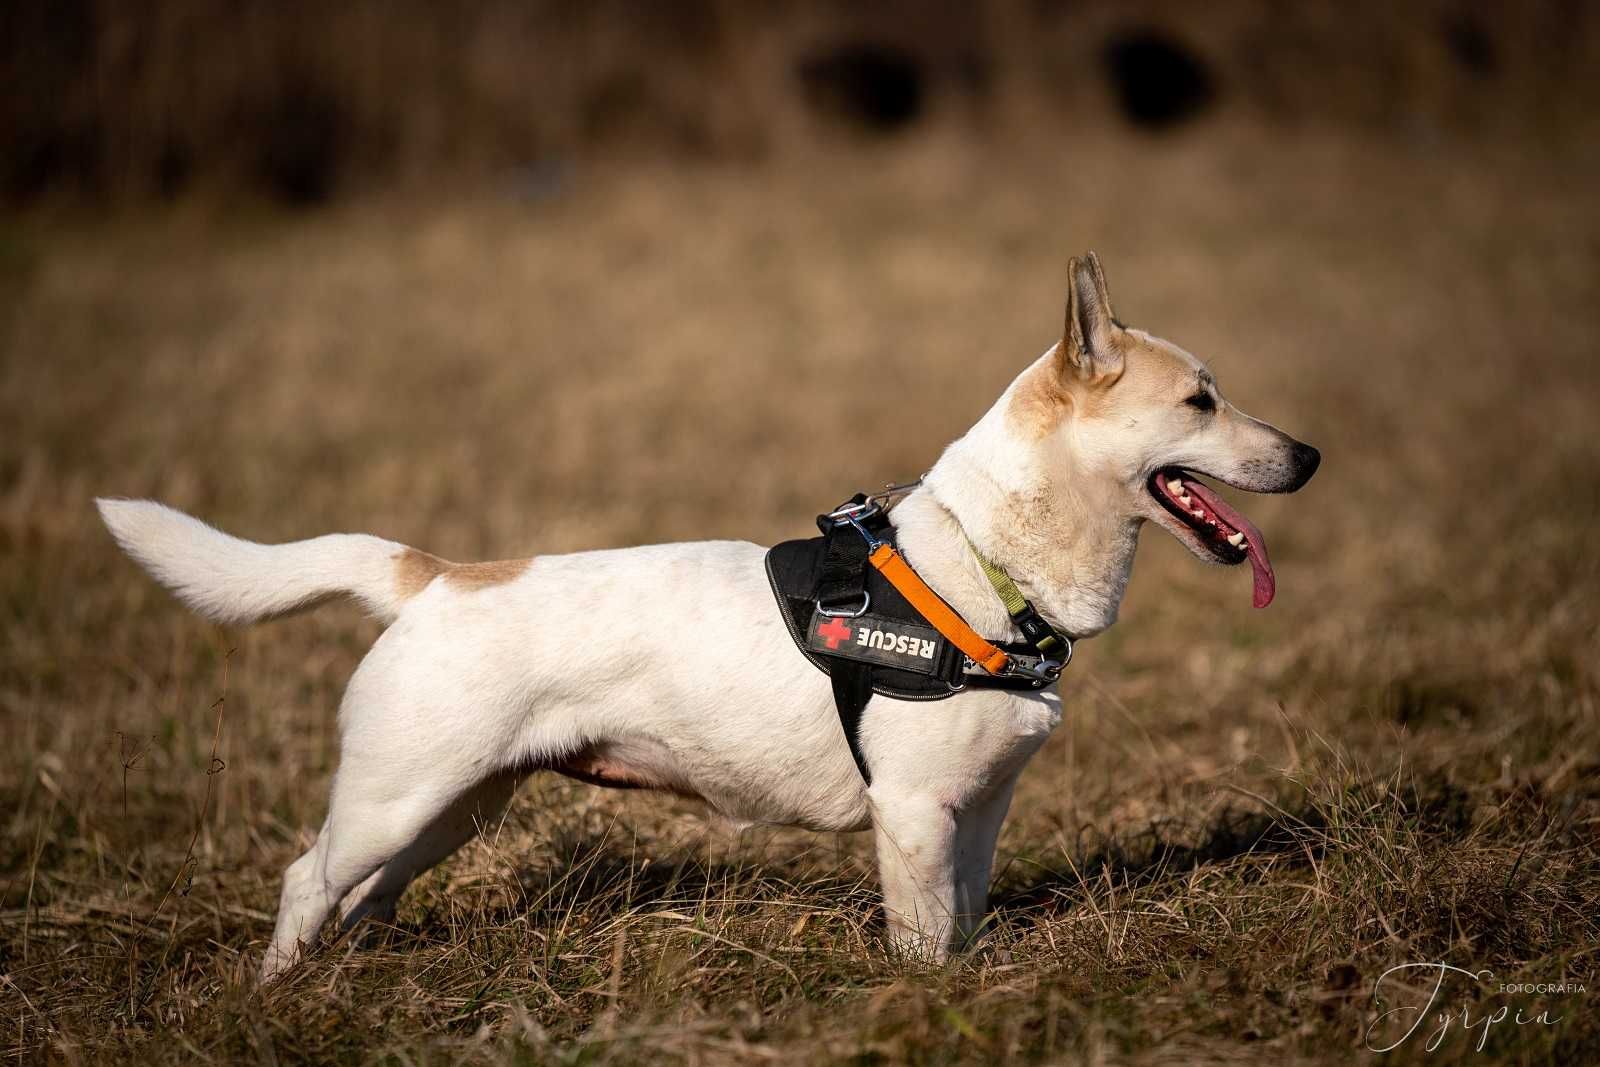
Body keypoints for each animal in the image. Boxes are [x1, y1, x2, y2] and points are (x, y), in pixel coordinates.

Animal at [103, 254, 1324, 979]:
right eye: (1200, 400)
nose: (1312, 455)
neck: (988, 558)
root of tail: (437, 574)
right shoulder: (915, 818)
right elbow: (922, 940)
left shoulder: (976, 814)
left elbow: (963, 922)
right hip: (394, 801)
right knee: (305, 878)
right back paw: (279, 993)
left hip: (445, 812)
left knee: (353, 897)